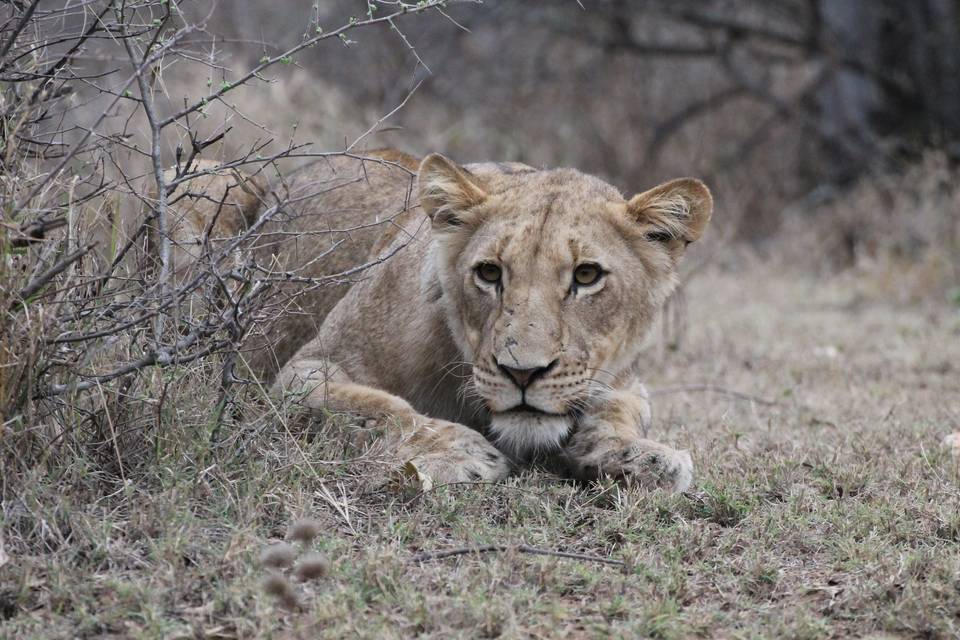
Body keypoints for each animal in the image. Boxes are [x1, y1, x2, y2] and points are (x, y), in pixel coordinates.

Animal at [163, 150, 712, 490]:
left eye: (587, 275)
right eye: (489, 273)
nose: (522, 374)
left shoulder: (624, 380)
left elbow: (621, 413)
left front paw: (641, 456)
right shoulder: (305, 371)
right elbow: (383, 409)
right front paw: (465, 452)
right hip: (202, 174)